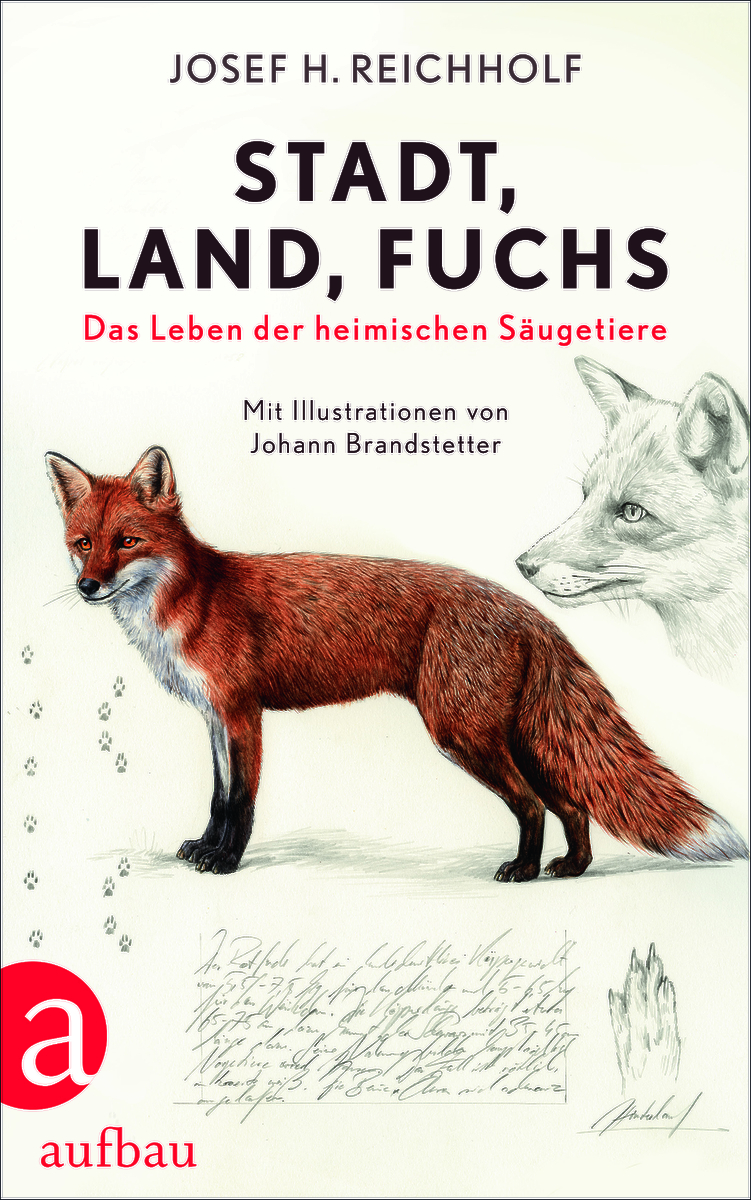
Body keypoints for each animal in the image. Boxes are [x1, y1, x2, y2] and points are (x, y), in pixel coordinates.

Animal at [45, 445, 748, 879]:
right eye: (82, 543)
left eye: (127, 541)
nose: (87, 586)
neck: (191, 601)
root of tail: (525, 607)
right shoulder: (215, 719)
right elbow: (219, 798)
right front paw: (204, 848)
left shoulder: (242, 713)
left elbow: (241, 802)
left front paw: (226, 863)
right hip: (516, 736)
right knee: (571, 804)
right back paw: (570, 869)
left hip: (463, 734)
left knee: (533, 803)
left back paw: (522, 870)